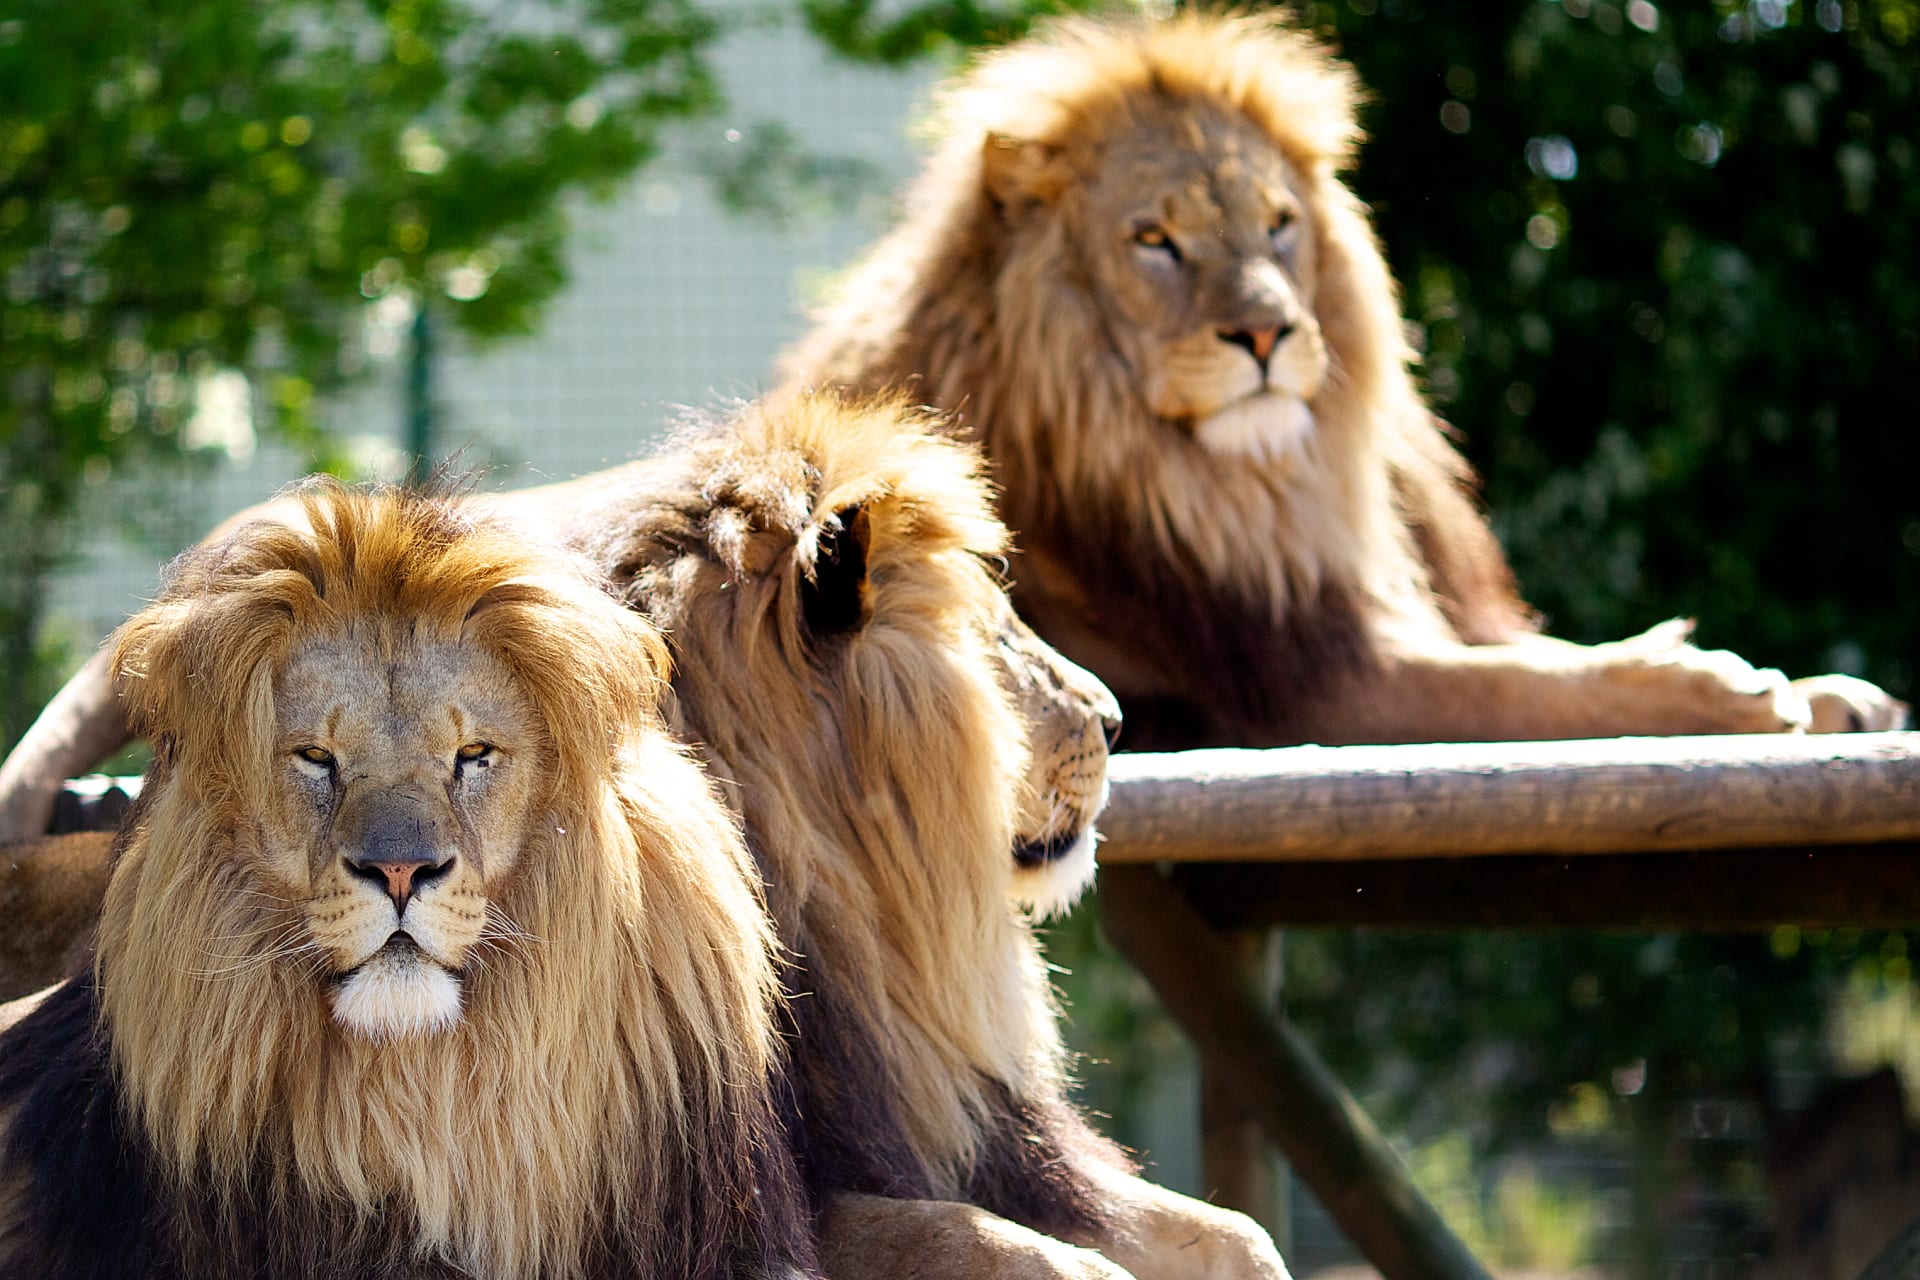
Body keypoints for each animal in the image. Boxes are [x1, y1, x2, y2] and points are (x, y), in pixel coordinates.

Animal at [776, 9, 1907, 751]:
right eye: (1154, 240)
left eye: (1278, 223)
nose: (1267, 331)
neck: (1247, 486)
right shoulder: (1304, 693)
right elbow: (1527, 690)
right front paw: (1720, 687)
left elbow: (1530, 659)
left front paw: (1834, 692)